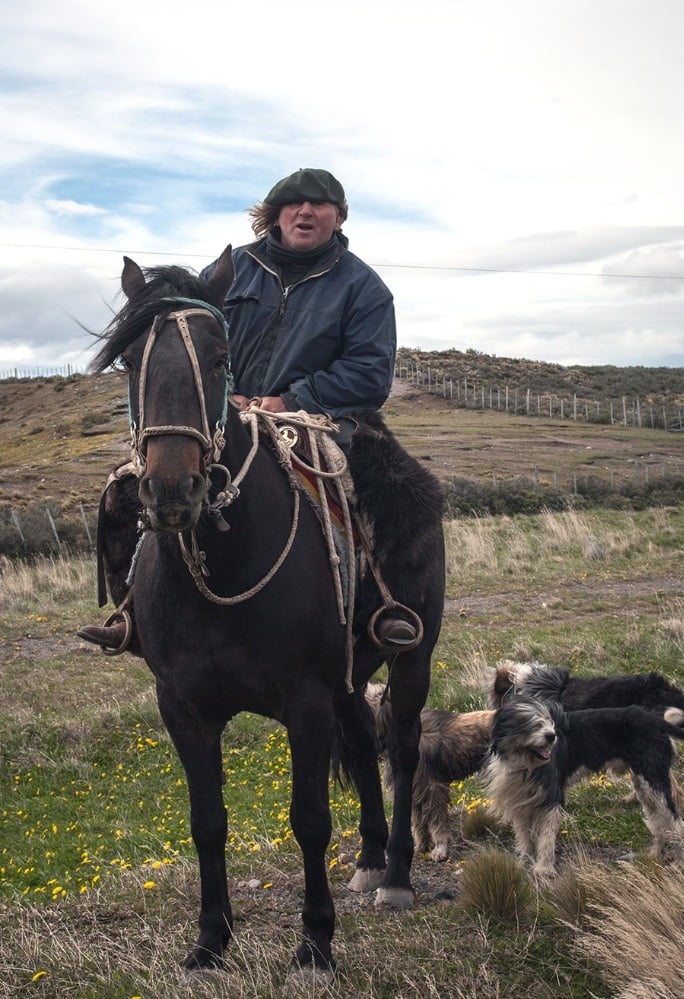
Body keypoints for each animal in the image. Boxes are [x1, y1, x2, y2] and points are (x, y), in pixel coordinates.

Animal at [88, 246, 446, 980]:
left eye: (220, 355)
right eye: (130, 359)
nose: (173, 489)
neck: (224, 572)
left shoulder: (304, 700)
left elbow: (309, 819)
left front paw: (314, 942)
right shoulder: (183, 706)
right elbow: (207, 821)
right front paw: (209, 941)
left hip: (412, 657)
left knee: (399, 749)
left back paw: (396, 873)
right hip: (348, 678)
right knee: (362, 746)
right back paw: (370, 860)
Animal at [484, 692, 684, 880]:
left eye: (549, 721)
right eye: (529, 722)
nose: (551, 736)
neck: (525, 763)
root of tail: (655, 720)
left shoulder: (552, 799)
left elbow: (546, 838)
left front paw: (544, 868)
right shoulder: (520, 802)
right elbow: (525, 837)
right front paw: (524, 862)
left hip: (654, 782)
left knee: (675, 823)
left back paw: (677, 863)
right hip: (645, 787)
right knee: (659, 819)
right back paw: (654, 854)